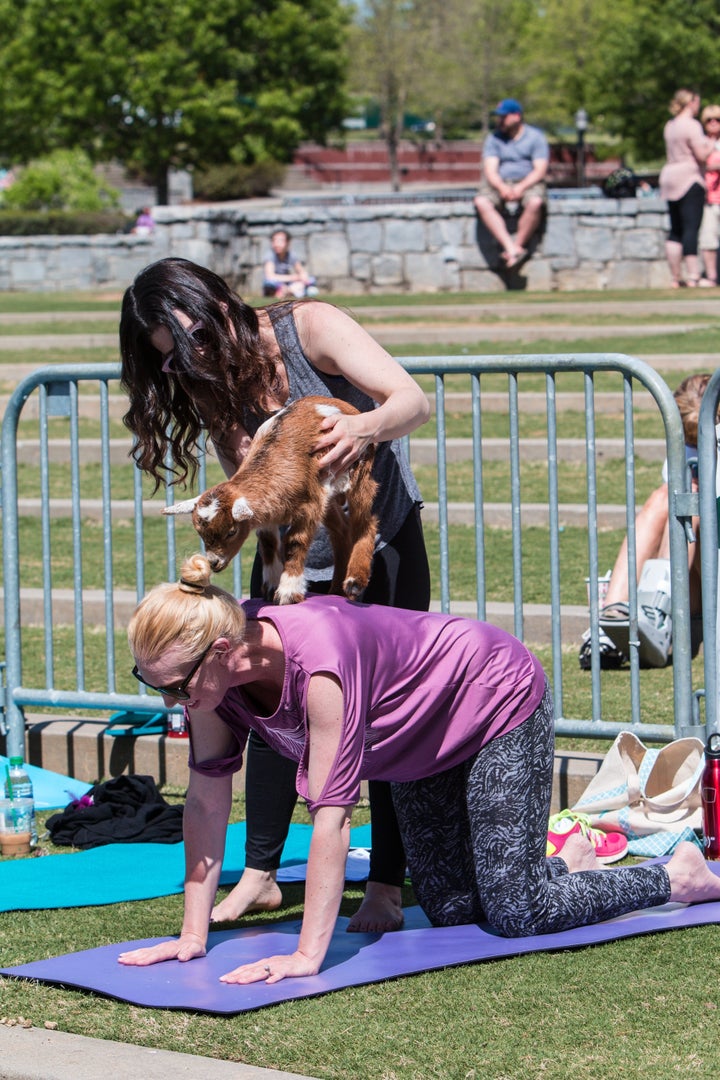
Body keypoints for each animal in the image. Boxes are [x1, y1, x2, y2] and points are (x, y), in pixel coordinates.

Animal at [161, 395, 377, 604]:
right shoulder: (267, 515)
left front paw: (288, 592)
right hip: (328, 494)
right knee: (342, 529)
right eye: (200, 532)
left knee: (366, 521)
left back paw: (354, 581)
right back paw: (336, 591)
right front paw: (271, 586)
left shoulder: (309, 507)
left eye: (231, 532)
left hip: (359, 469)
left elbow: (295, 542)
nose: (214, 563)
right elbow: (268, 544)